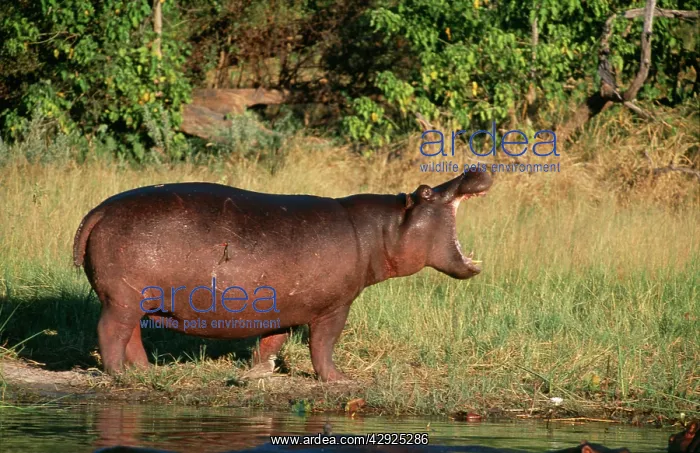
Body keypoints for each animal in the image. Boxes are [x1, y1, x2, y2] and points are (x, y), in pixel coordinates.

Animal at [73, 170, 492, 381]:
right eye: (425, 191)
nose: (474, 168)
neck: (383, 230)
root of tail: (98, 210)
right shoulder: (335, 307)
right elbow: (323, 346)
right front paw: (340, 381)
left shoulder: (286, 306)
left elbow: (271, 342)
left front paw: (260, 373)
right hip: (122, 299)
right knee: (111, 332)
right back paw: (118, 375)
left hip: (135, 299)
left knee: (132, 337)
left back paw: (145, 372)